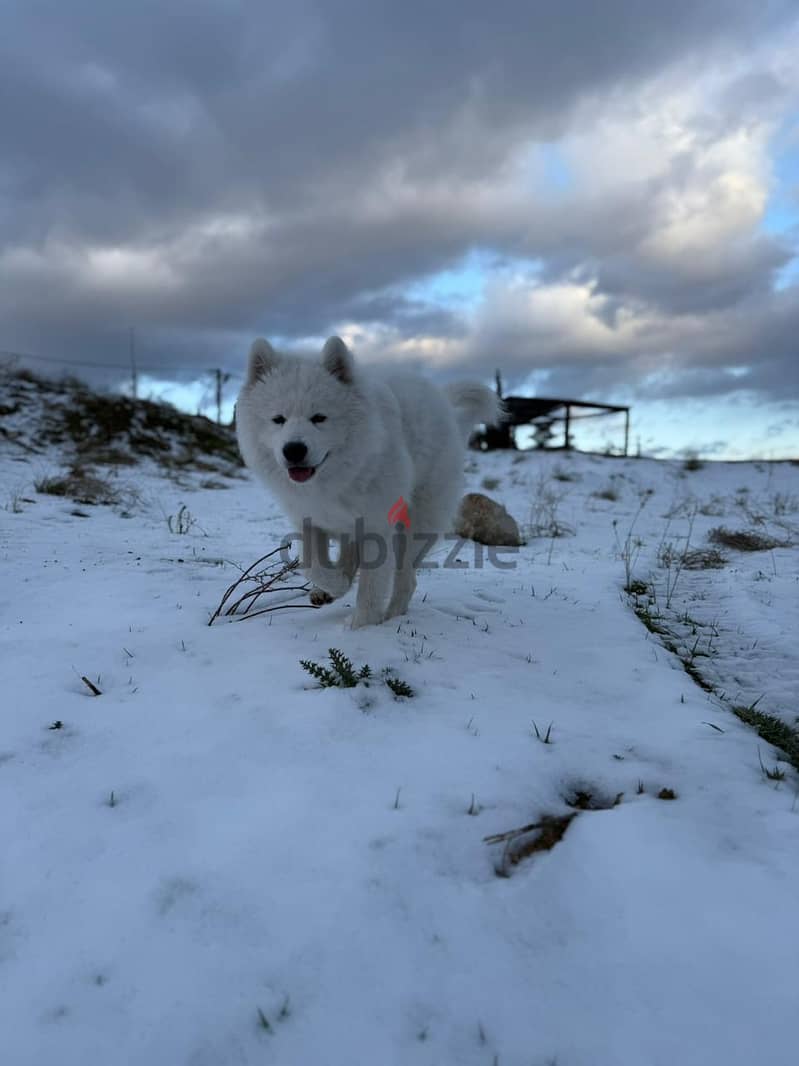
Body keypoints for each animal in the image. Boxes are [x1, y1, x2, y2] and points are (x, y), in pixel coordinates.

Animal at [237, 334, 498, 622]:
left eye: (319, 418)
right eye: (278, 419)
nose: (294, 450)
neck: (335, 480)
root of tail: (448, 411)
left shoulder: (377, 525)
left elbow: (370, 590)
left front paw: (363, 627)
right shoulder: (310, 518)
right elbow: (312, 564)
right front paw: (334, 585)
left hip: (413, 526)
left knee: (406, 580)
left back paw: (393, 616)